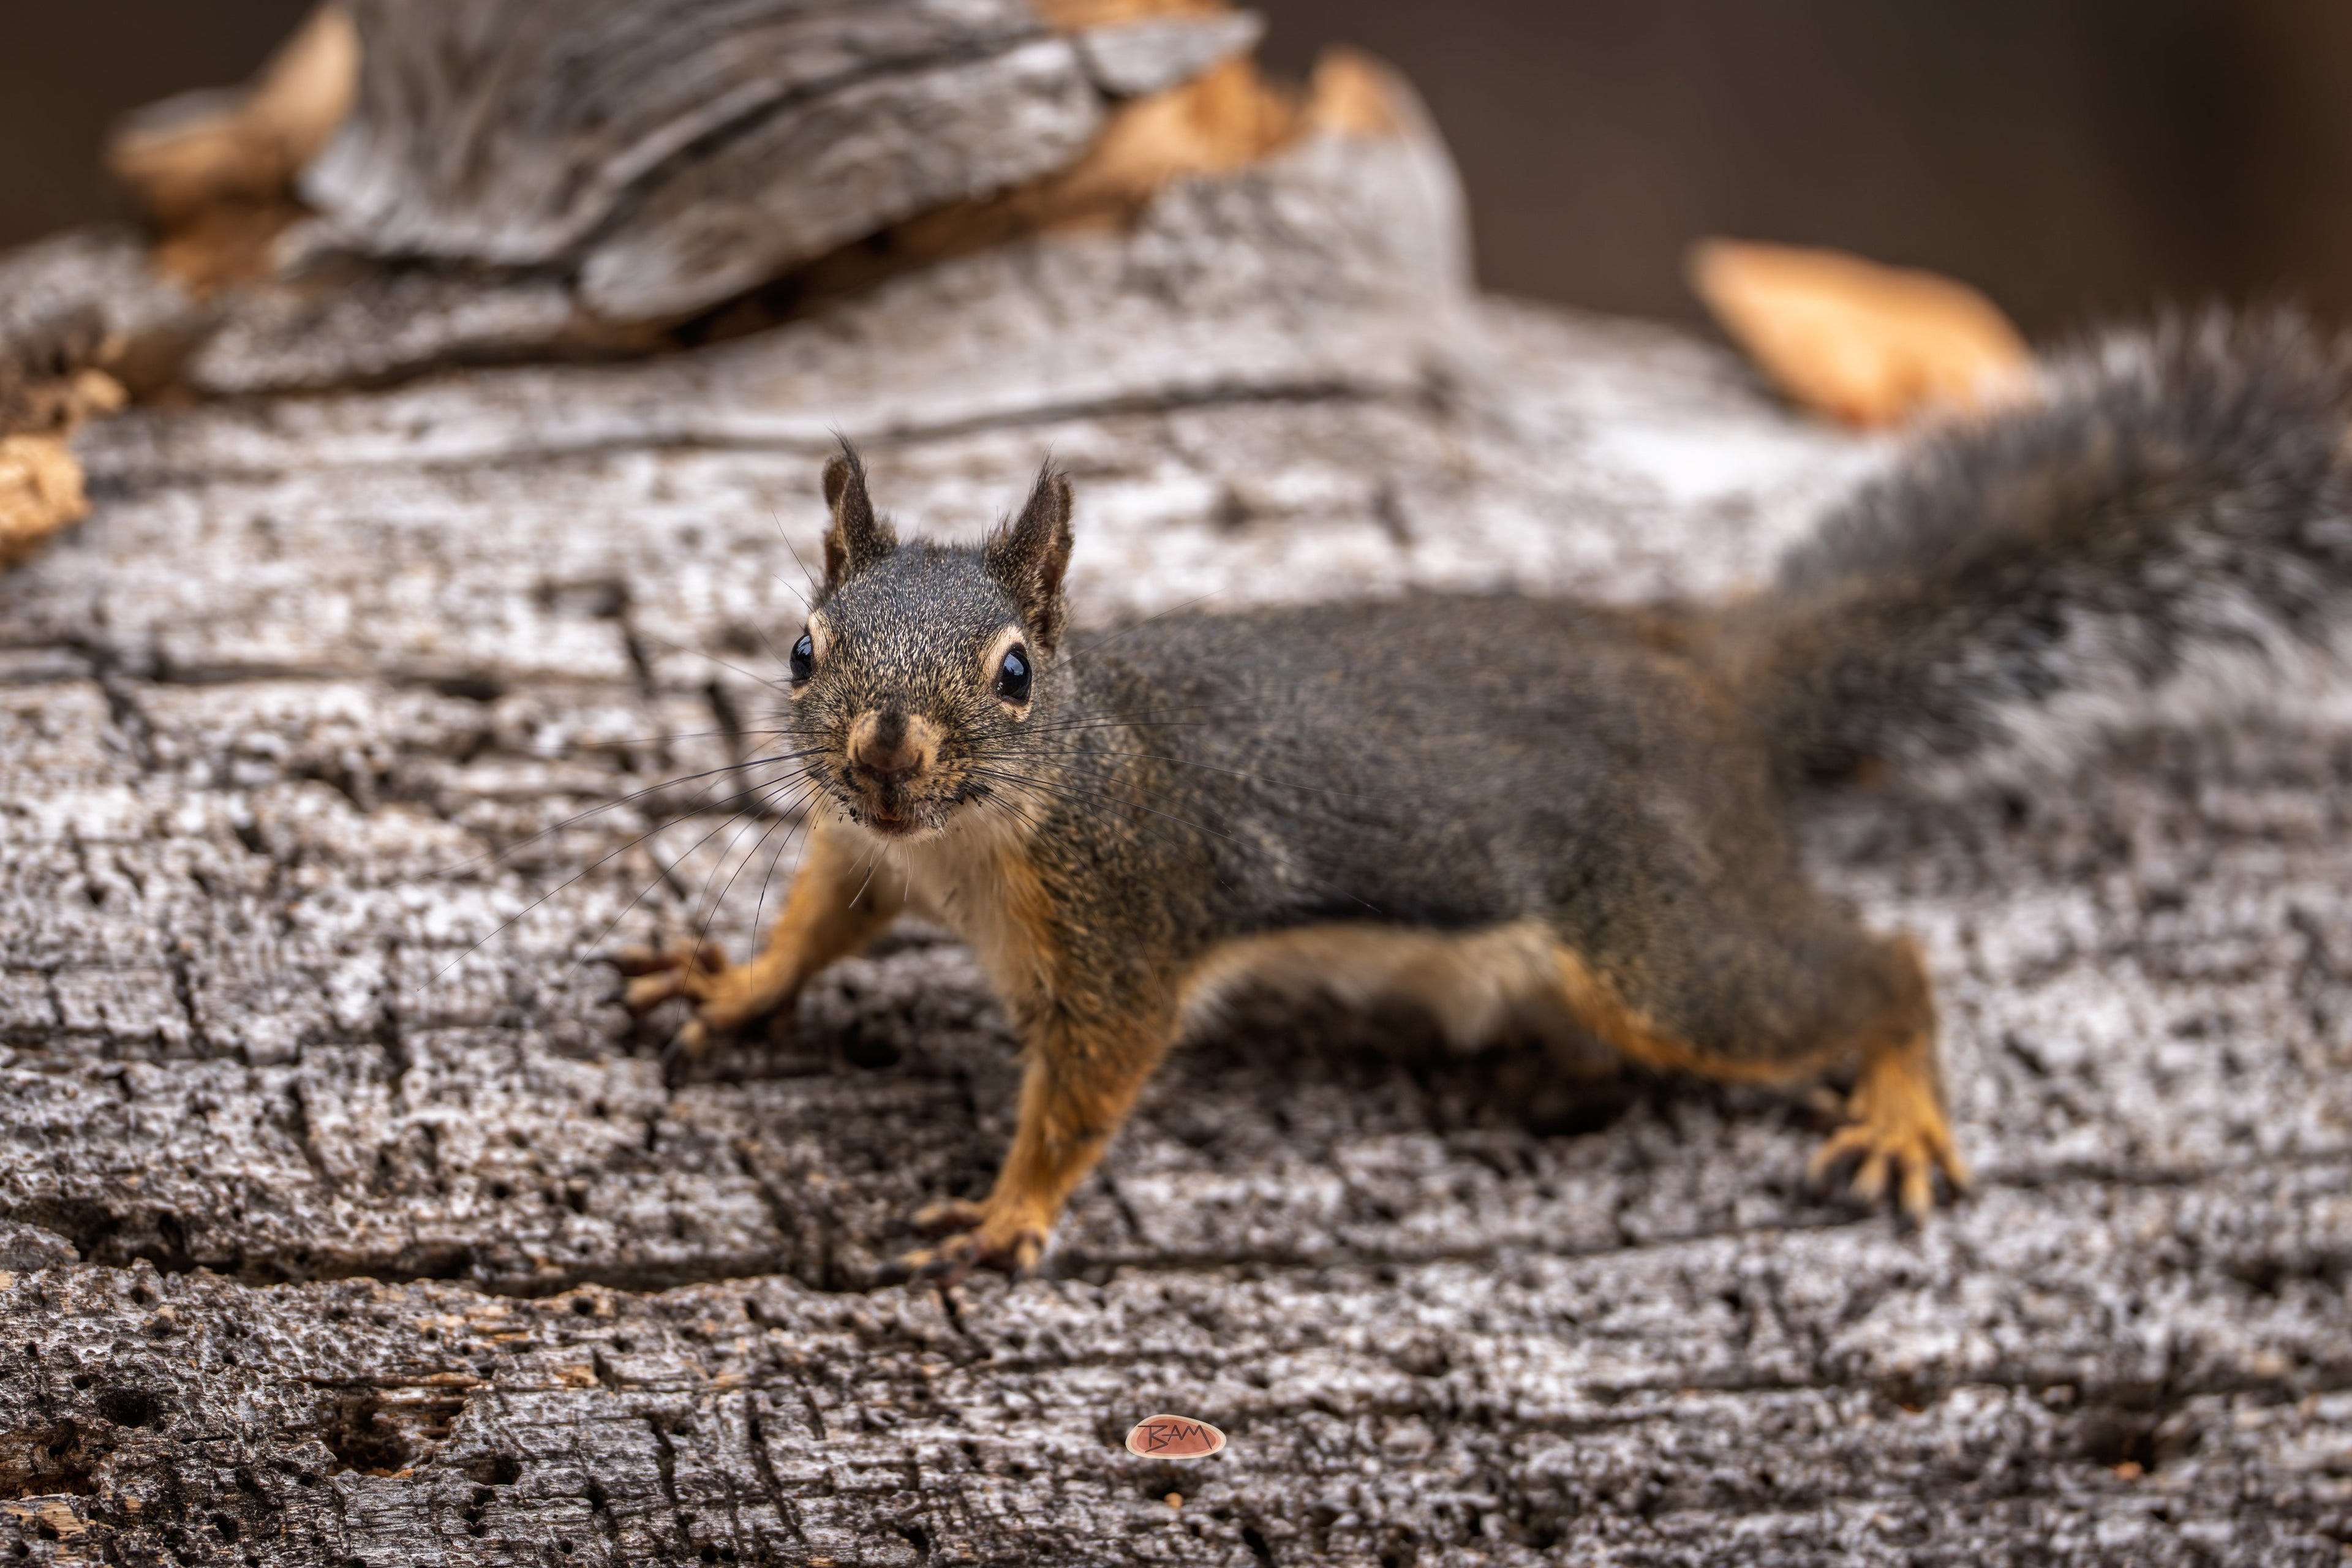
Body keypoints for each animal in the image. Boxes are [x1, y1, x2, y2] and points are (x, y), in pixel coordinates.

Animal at [616, 311, 2352, 1284]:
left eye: (1018, 673)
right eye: (800, 646)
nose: (883, 755)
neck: (976, 843)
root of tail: (1711, 687)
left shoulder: (1130, 923)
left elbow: (1089, 1090)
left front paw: (1007, 1211)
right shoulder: (868, 859)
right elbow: (814, 922)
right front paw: (729, 976)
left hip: (1661, 945)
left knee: (1876, 964)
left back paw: (1902, 1102)